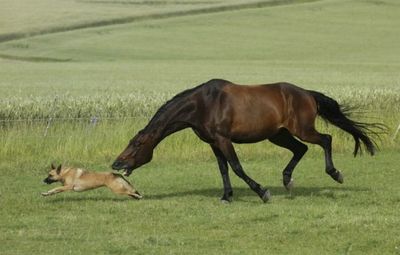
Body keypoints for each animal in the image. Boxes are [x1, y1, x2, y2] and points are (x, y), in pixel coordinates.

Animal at [111, 78, 382, 202]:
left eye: (137, 144)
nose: (116, 164)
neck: (203, 105)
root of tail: (307, 94)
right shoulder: (214, 143)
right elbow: (223, 169)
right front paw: (226, 196)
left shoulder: (224, 140)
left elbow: (236, 167)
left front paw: (262, 192)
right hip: (278, 135)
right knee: (301, 149)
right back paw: (287, 181)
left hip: (302, 129)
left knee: (325, 139)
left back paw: (335, 174)